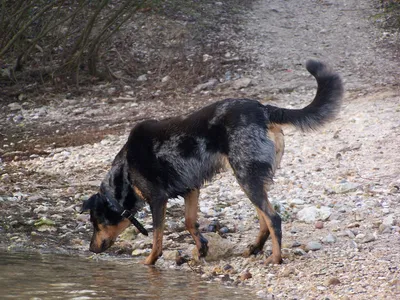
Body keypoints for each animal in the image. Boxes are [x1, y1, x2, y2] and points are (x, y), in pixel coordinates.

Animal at [81, 60, 344, 264]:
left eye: (95, 222)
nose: (90, 249)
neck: (125, 173)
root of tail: (263, 109)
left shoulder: (158, 200)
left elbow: (157, 238)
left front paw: (150, 262)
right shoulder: (191, 189)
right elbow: (189, 222)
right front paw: (201, 248)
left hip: (246, 178)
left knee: (273, 219)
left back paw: (276, 258)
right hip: (252, 179)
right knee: (263, 219)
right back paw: (255, 248)